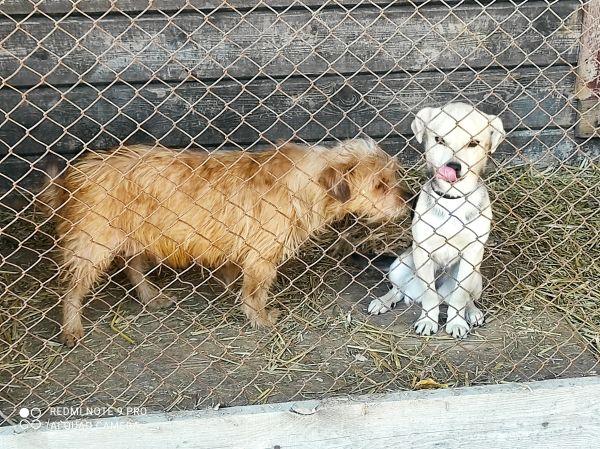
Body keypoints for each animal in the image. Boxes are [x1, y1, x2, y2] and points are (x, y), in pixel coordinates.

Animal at [41, 138, 410, 346]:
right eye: (379, 184)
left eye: (394, 176)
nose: (408, 201)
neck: (306, 183)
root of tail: (73, 175)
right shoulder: (262, 255)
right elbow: (255, 292)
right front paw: (261, 318)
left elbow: (235, 277)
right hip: (92, 245)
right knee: (71, 289)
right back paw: (71, 328)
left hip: (134, 234)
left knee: (133, 267)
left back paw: (150, 296)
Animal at [368, 103, 505, 338]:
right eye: (439, 139)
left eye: (473, 143)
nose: (453, 167)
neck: (452, 201)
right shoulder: (423, 252)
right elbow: (429, 295)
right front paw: (428, 321)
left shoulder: (471, 253)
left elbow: (459, 296)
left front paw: (457, 322)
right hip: (400, 265)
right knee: (399, 290)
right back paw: (383, 302)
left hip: (476, 277)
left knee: (466, 298)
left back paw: (472, 312)